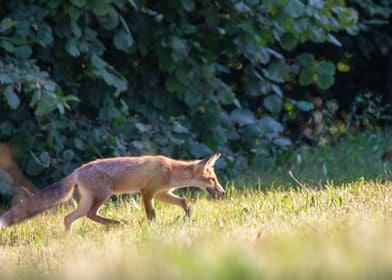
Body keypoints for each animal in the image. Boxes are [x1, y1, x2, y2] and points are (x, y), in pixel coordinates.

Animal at [0, 153, 224, 230]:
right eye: (212, 179)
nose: (222, 192)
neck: (170, 170)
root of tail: (76, 171)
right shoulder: (147, 192)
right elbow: (151, 214)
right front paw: (153, 228)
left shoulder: (161, 193)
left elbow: (185, 202)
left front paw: (188, 217)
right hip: (102, 196)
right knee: (91, 215)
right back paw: (116, 223)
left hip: (88, 201)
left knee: (68, 217)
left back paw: (70, 239)